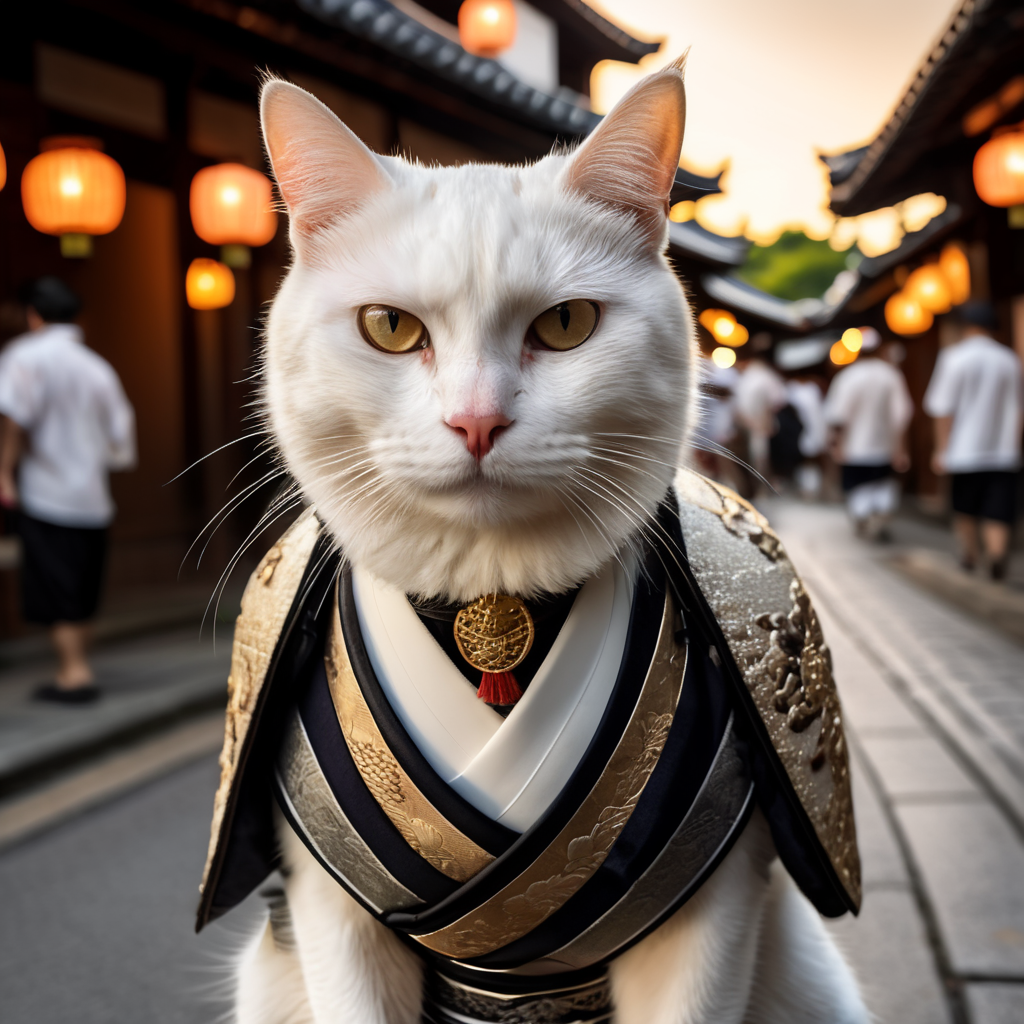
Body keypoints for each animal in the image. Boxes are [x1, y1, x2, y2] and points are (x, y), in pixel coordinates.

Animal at [232, 61, 864, 1024]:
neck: (494, 596)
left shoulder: (713, 903)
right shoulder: (331, 911)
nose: (477, 421)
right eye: (389, 327)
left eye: (566, 326)